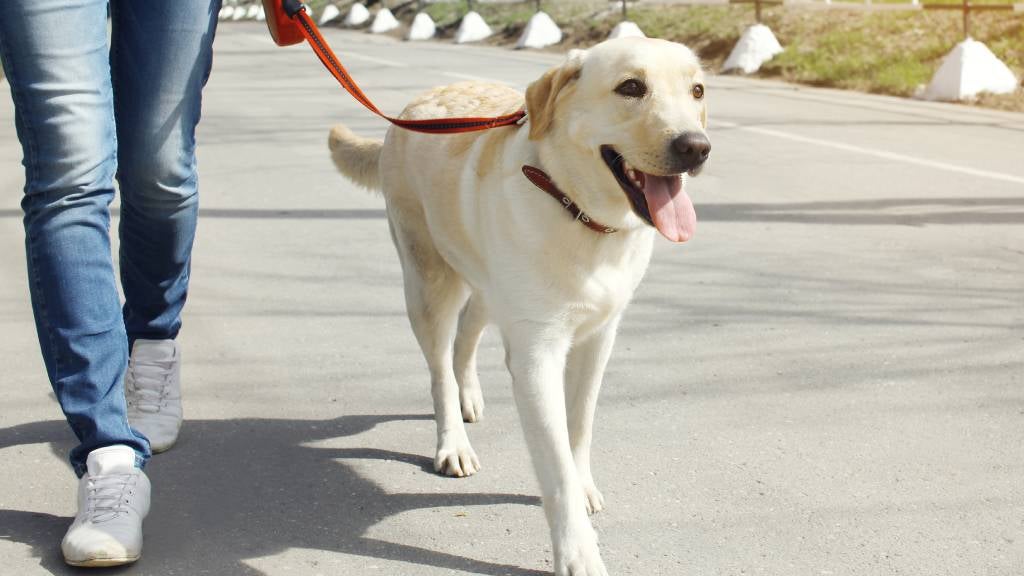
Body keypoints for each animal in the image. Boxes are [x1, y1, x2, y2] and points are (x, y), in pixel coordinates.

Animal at [331, 38, 708, 569]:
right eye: (631, 87)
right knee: (439, 368)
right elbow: (555, 462)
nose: (696, 147)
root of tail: (412, 108)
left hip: (488, 286)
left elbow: (579, 426)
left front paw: (583, 483)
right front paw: (577, 551)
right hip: (428, 283)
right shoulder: (536, 355)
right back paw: (453, 441)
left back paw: (468, 395)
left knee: (467, 336)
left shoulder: (598, 339)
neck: (579, 214)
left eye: (697, 91)